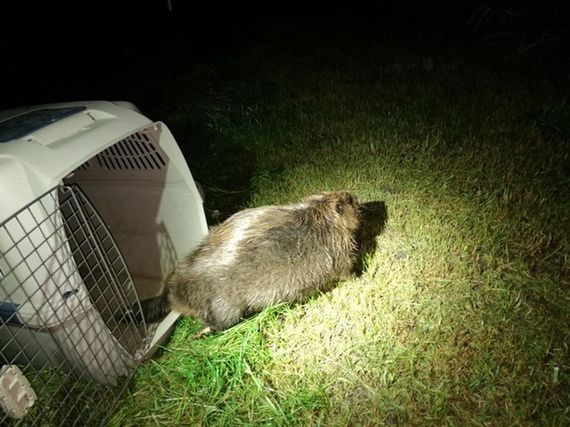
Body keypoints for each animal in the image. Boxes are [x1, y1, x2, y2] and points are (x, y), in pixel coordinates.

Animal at [137, 192, 358, 336]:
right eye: (348, 201)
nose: (353, 195)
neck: (320, 217)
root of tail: (171, 294)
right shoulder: (338, 247)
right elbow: (345, 269)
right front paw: (358, 275)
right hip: (227, 308)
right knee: (216, 322)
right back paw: (200, 333)